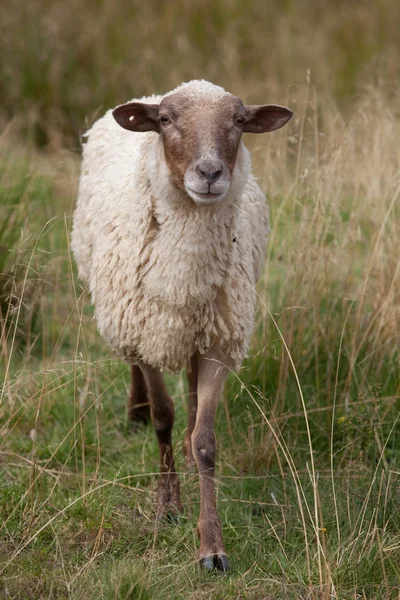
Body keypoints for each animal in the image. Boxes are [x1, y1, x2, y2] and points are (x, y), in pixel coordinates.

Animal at [70, 79, 292, 572]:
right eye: (167, 121)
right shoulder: (145, 333)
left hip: (198, 332)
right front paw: (168, 506)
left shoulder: (220, 343)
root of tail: (150, 93)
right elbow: (163, 417)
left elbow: (206, 439)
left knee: (190, 394)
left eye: (239, 121)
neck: (183, 277)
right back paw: (135, 411)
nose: (209, 173)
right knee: (140, 379)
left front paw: (212, 547)